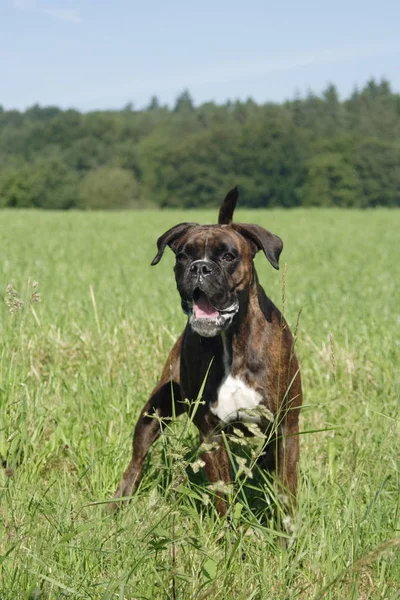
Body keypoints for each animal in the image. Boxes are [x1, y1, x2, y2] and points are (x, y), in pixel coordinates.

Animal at [111, 189, 302, 516]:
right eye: (183, 255)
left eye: (228, 256)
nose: (200, 267)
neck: (230, 342)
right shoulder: (211, 434)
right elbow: (223, 495)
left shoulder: (285, 429)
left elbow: (285, 494)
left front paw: (285, 529)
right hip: (155, 412)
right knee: (136, 461)